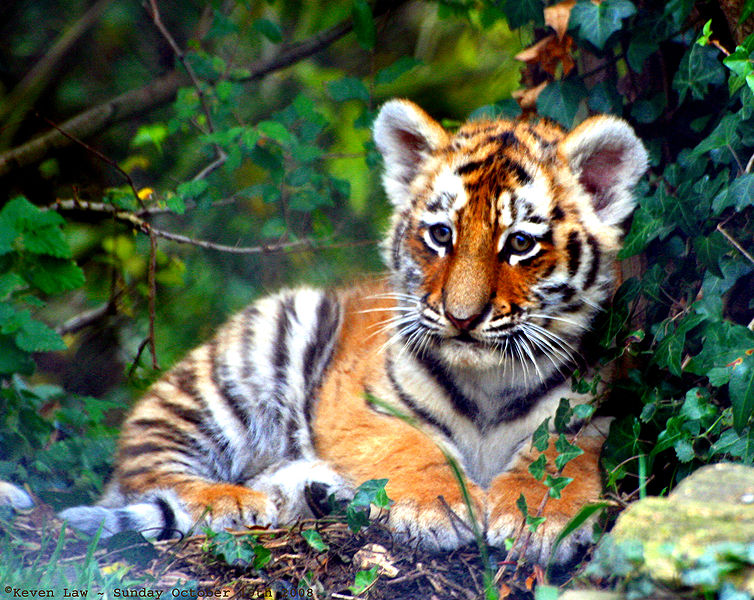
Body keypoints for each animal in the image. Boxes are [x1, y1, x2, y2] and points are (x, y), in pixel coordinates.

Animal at [2, 99, 647, 565]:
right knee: (144, 469)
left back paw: (317, 492)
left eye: (519, 244)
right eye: (441, 235)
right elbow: (410, 445)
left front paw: (542, 519)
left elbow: (561, 455)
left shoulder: (596, 411)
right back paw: (239, 501)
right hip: (245, 359)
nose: (462, 318)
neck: (487, 381)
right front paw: (435, 507)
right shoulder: (362, 405)